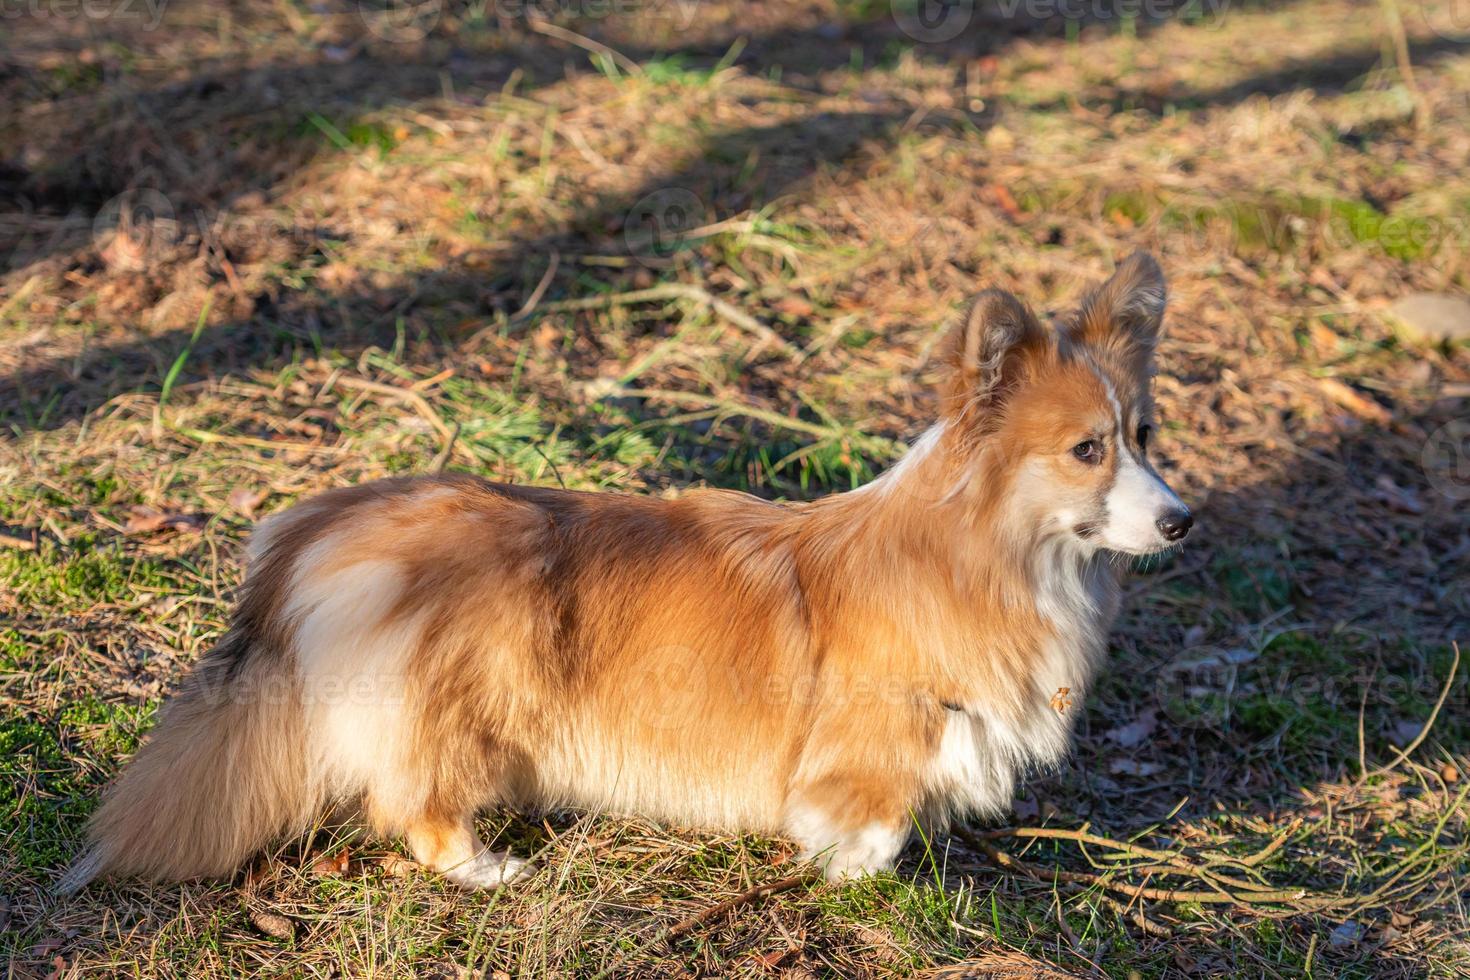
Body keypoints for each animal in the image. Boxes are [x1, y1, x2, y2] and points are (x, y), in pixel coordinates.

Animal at [63, 251, 1193, 887]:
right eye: (1087, 450)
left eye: (1143, 434)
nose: (1182, 522)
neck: (987, 551)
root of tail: (313, 532)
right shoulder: (877, 739)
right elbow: (869, 822)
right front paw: (846, 875)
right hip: (465, 698)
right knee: (413, 805)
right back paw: (490, 869)